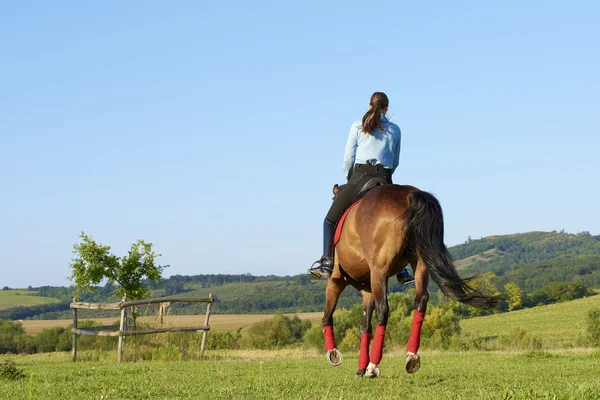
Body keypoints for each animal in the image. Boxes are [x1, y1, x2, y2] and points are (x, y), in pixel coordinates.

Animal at [314, 183, 496, 376]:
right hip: (420, 262)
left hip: (379, 269)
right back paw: (411, 357)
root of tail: (410, 195)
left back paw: (373, 366)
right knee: (421, 300)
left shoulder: (336, 280)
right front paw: (360, 367)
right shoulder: (367, 290)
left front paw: (334, 354)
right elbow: (364, 326)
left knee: (383, 309)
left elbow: (327, 316)